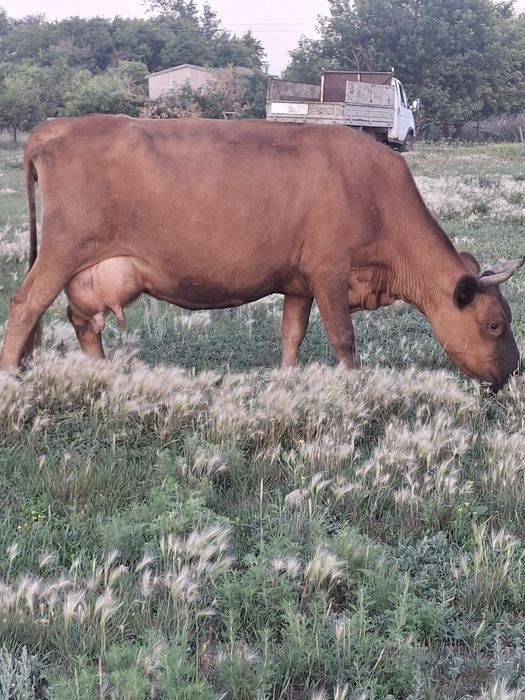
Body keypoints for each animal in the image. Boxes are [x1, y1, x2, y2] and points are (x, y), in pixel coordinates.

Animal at [0, 114, 523, 390]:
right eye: (495, 325)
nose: (514, 371)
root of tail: (57, 126)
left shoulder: (299, 282)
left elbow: (292, 334)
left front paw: (287, 384)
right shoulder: (329, 272)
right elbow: (343, 338)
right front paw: (354, 388)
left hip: (89, 269)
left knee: (83, 320)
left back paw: (105, 377)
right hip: (61, 252)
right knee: (25, 305)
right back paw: (10, 379)